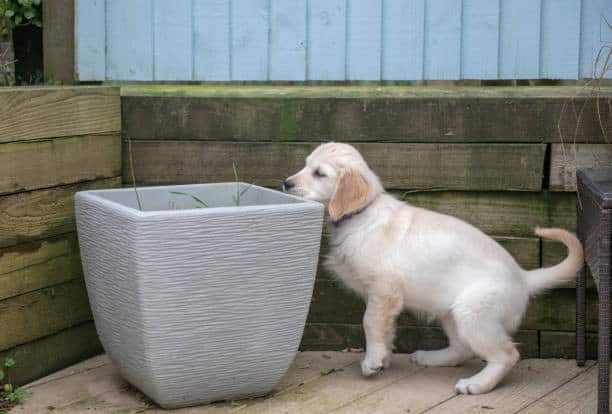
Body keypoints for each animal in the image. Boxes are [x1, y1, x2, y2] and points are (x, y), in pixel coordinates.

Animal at [284, 142, 580, 394]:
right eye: (305, 165)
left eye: (320, 173)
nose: (286, 182)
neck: (361, 216)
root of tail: (523, 277)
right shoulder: (383, 296)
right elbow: (385, 328)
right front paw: (384, 358)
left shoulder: (383, 290)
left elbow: (370, 322)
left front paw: (372, 361)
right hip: (450, 312)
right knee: (461, 348)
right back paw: (433, 358)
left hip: (473, 313)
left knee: (506, 354)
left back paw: (476, 384)